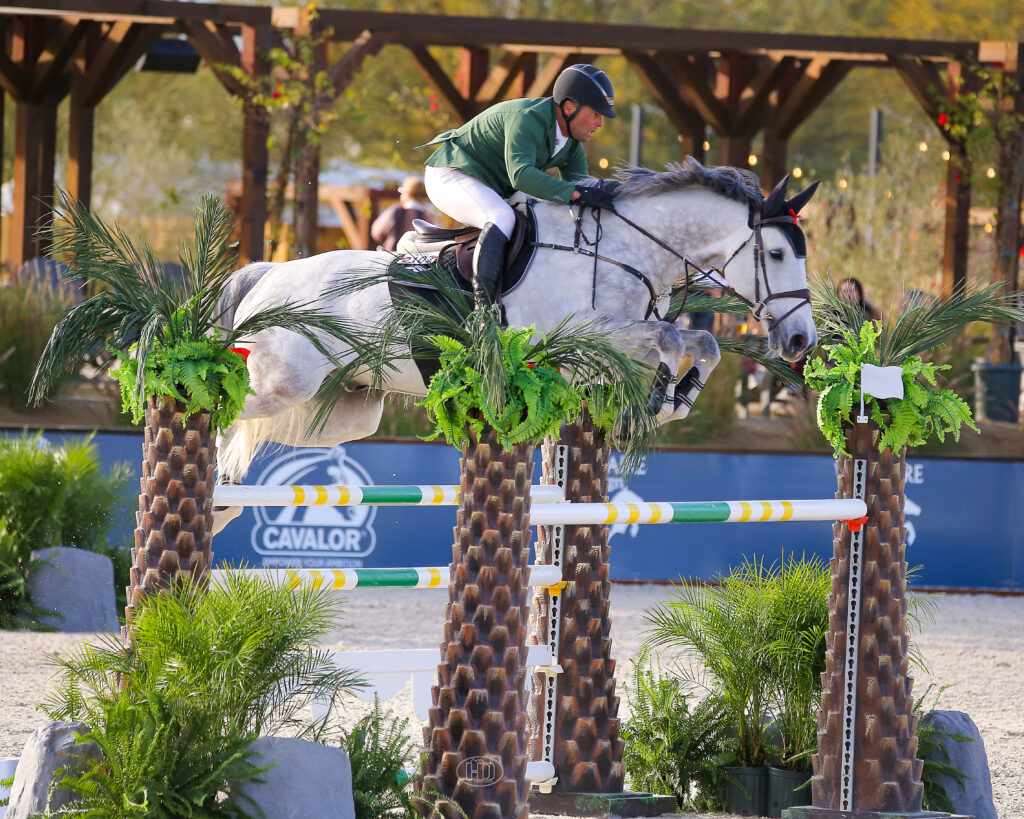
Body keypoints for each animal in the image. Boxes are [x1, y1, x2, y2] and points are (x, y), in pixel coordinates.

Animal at [212, 158, 819, 533]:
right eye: (778, 255)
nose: (800, 340)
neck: (622, 250)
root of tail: (268, 276)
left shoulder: (612, 341)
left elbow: (703, 343)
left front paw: (676, 399)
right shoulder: (583, 335)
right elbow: (670, 337)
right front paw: (655, 402)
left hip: (341, 411)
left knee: (245, 439)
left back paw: (221, 502)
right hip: (282, 385)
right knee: (224, 415)